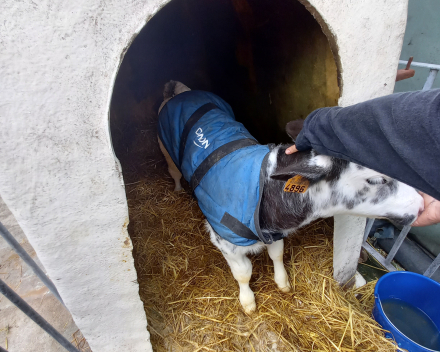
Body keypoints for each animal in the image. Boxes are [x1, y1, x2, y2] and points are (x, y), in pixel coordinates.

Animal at [158, 82, 422, 314]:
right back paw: (178, 189)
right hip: (164, 147)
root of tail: (181, 91)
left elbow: (277, 254)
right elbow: (243, 273)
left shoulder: (275, 233)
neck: (264, 191)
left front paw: (283, 283)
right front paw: (248, 303)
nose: (421, 204)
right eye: (376, 180)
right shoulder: (224, 239)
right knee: (173, 171)